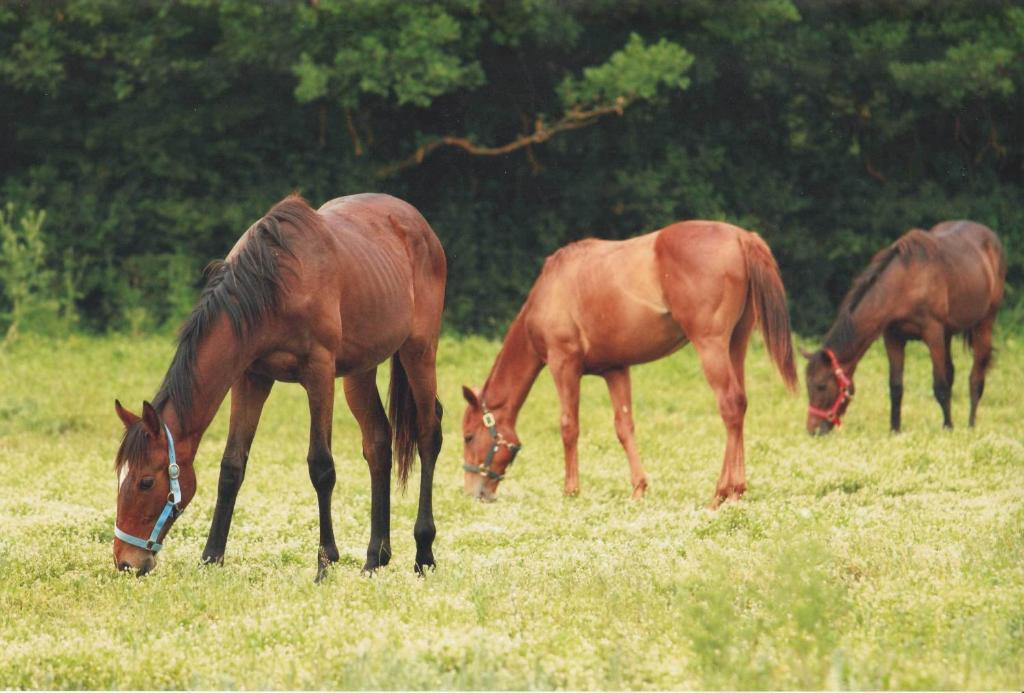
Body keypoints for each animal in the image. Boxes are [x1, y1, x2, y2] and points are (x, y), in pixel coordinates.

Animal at [114, 193, 446, 577]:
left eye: (146, 482)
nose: (125, 561)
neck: (273, 284)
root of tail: (418, 224)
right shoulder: (251, 377)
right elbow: (231, 466)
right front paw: (211, 558)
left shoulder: (319, 373)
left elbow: (321, 467)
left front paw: (325, 563)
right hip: (360, 371)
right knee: (378, 443)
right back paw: (374, 559)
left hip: (419, 351)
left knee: (428, 434)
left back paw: (424, 553)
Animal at [460, 219, 794, 505]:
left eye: (468, 436)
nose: (474, 492)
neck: (550, 290)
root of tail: (742, 236)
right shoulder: (615, 371)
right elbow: (624, 427)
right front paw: (638, 489)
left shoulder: (563, 364)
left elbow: (569, 426)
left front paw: (571, 491)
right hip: (735, 345)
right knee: (740, 406)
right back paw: (736, 491)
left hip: (711, 345)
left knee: (730, 405)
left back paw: (722, 493)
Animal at [802, 219, 1003, 436]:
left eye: (821, 386)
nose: (813, 429)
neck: (905, 282)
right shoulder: (893, 337)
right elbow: (896, 387)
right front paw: (895, 430)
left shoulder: (933, 333)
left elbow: (940, 386)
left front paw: (948, 427)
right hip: (947, 334)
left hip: (984, 323)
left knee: (976, 377)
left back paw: (971, 425)